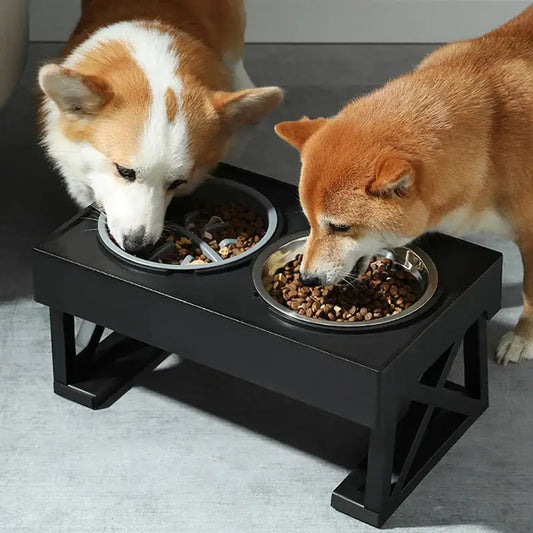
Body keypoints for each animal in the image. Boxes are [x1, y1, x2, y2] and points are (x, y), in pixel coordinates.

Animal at [274, 6, 532, 364]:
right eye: (309, 222)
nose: (306, 278)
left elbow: (530, 295)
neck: (490, 142)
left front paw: (522, 338)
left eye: (340, 227)